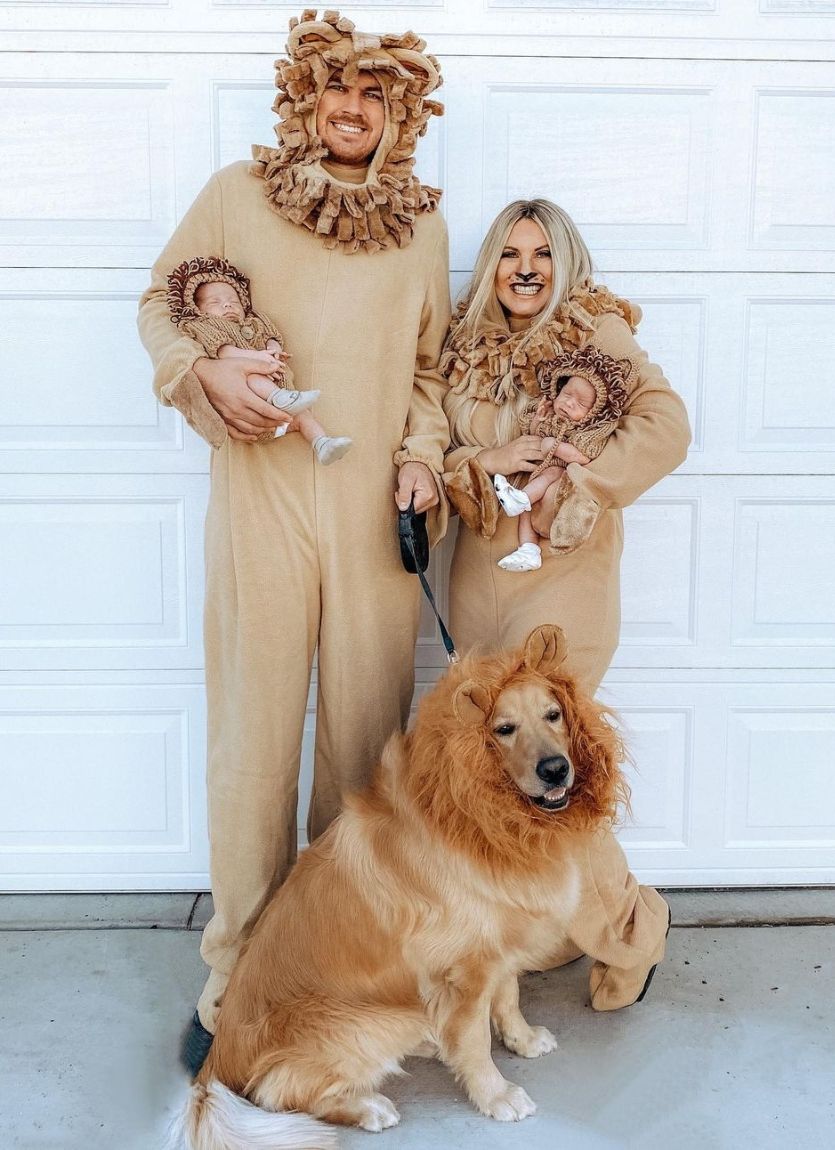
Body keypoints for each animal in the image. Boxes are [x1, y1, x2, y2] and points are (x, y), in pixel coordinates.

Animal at [170, 630, 625, 1150]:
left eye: (553, 714)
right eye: (503, 728)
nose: (555, 769)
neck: (469, 816)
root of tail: (213, 1068)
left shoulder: (498, 938)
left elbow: (508, 996)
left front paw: (523, 1040)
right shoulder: (463, 971)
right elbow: (473, 1042)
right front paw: (496, 1096)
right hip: (377, 1020)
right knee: (277, 1092)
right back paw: (369, 1107)